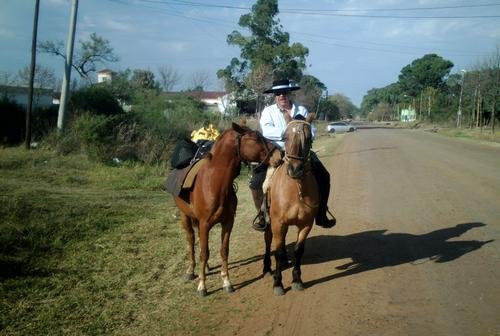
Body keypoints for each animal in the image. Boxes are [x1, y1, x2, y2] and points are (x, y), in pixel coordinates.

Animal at [171, 123, 274, 296]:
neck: (214, 184)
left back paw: (205, 268)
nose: (280, 153)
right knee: (191, 240)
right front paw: (202, 286)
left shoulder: (227, 222)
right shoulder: (205, 223)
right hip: (184, 216)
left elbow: (223, 250)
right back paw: (191, 271)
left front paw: (226, 282)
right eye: (255, 138)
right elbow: (204, 253)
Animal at [264, 114, 318, 296]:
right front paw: (278, 283)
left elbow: (298, 250)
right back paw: (267, 268)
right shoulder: (277, 223)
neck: (295, 190)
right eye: (285, 137)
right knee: (268, 241)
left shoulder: (306, 224)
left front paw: (297, 280)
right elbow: (279, 252)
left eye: (308, 138)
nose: (295, 170)